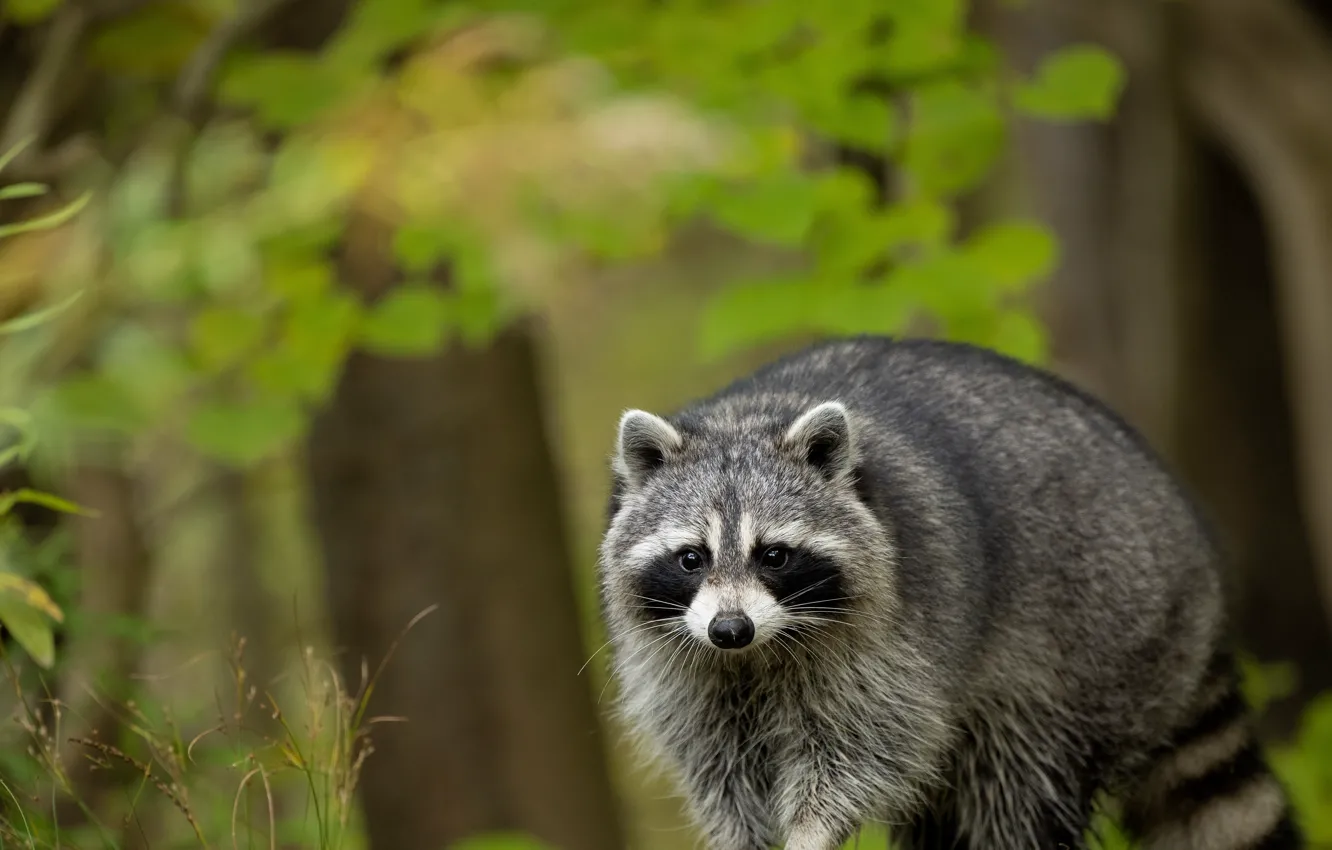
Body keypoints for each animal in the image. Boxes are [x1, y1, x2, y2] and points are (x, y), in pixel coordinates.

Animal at [597, 336, 1302, 850]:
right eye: (692, 558)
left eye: (774, 555)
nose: (730, 629)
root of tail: (1195, 557)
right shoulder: (682, 668)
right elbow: (721, 771)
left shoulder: (896, 641)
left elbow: (867, 749)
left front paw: (811, 832)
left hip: (1096, 641)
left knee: (1018, 789)